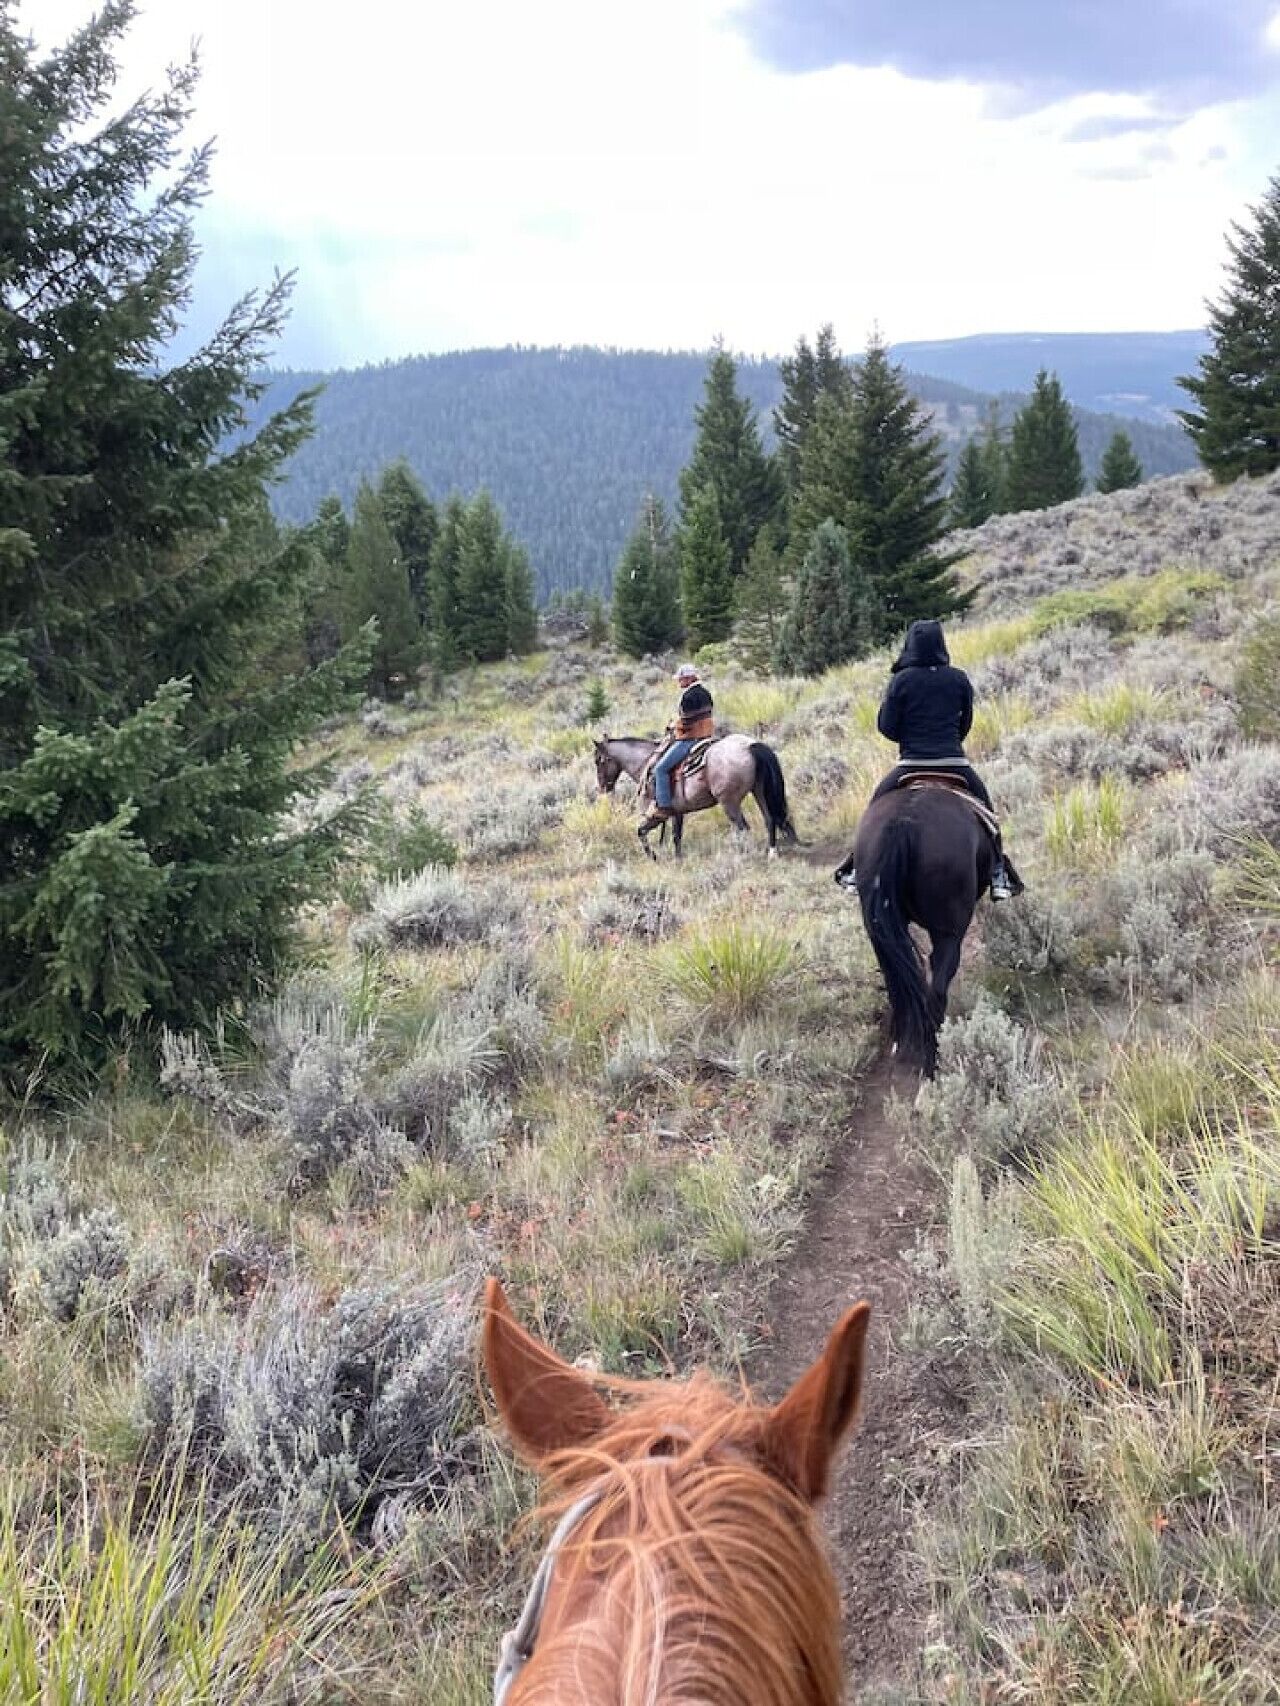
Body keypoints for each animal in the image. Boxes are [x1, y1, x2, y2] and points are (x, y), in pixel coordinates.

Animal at [593, 734, 797, 859]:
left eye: (598, 761)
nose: (603, 788)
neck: (646, 762)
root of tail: (750, 746)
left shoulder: (656, 814)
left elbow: (641, 831)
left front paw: (653, 857)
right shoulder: (677, 812)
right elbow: (676, 836)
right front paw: (678, 859)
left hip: (729, 802)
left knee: (743, 828)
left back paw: (744, 853)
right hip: (759, 791)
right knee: (770, 820)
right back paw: (772, 852)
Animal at [836, 783, 993, 1076]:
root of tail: (903, 823)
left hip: (879, 931)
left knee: (897, 983)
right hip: (948, 934)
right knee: (937, 989)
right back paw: (933, 1058)